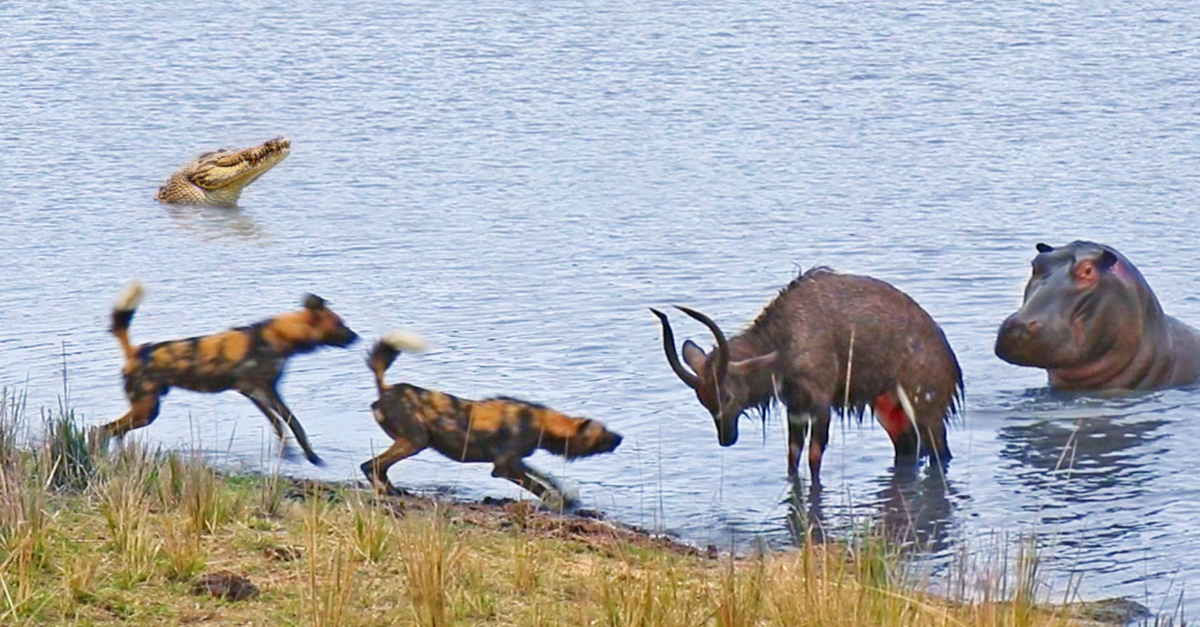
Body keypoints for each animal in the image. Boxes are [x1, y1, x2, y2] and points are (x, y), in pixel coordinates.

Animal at [99, 281, 357, 461]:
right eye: (340, 324)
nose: (357, 337)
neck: (279, 336)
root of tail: (135, 351)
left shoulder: (260, 392)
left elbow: (283, 425)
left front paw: (296, 456)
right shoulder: (259, 389)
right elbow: (290, 423)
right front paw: (311, 458)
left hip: (144, 411)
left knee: (115, 432)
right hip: (147, 411)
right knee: (102, 429)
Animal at [360, 331, 624, 502]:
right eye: (603, 432)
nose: (620, 437)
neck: (541, 423)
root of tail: (386, 389)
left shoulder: (516, 461)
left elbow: (546, 477)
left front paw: (566, 497)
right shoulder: (504, 466)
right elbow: (538, 485)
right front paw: (559, 503)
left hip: (411, 442)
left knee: (379, 468)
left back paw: (394, 492)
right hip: (415, 442)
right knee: (370, 466)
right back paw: (385, 493)